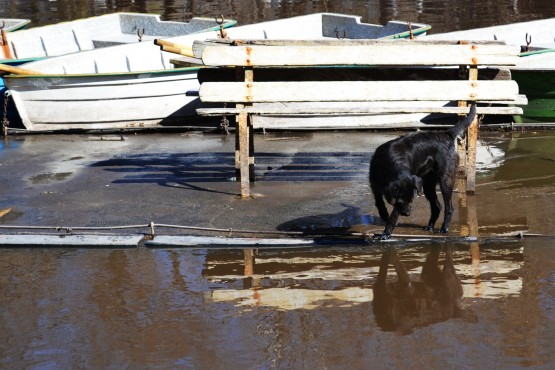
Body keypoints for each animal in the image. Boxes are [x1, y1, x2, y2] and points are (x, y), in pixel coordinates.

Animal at [370, 101, 478, 240]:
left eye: (411, 200)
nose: (408, 214)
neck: (389, 164)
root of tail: (447, 134)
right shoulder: (375, 186)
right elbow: (379, 202)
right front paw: (384, 215)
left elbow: (393, 215)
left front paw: (386, 233)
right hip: (427, 184)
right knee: (437, 206)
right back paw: (430, 226)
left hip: (445, 180)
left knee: (449, 207)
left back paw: (444, 228)